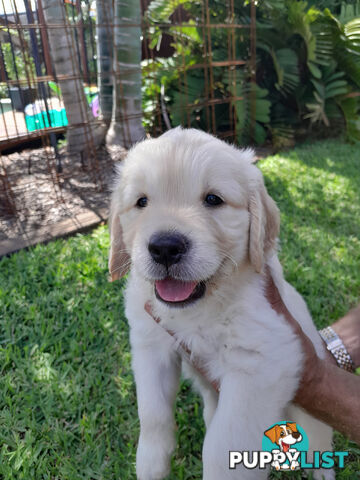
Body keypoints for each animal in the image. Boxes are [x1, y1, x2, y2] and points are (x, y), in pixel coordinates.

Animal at [108, 127, 334, 480]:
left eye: (213, 199)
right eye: (141, 202)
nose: (165, 247)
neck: (201, 306)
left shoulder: (261, 362)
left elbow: (224, 446)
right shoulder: (150, 345)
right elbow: (152, 412)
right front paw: (150, 464)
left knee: (320, 439)